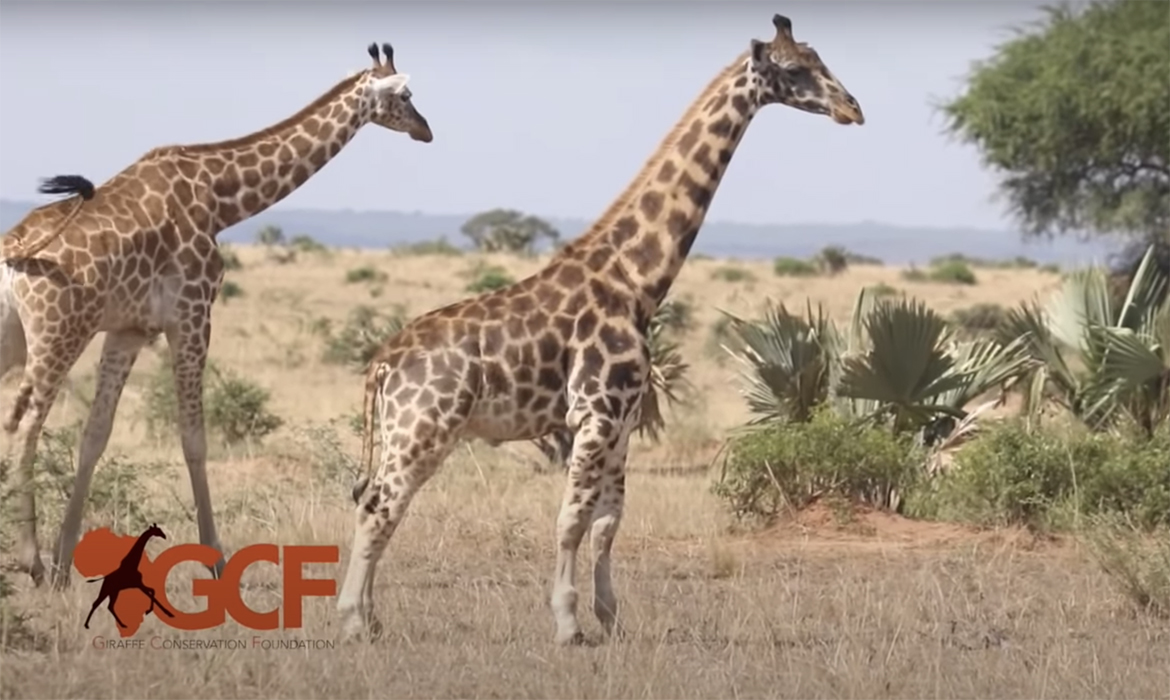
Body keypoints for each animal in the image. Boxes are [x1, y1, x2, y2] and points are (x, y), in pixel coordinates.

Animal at [0, 41, 433, 590]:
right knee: (22, 425)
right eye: (407, 95)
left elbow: (95, 436)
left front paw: (64, 564)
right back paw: (28, 560)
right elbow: (194, 439)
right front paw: (217, 560)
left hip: (13, 334)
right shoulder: (193, 313)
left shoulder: (129, 330)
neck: (222, 198)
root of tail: (13, 252)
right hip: (57, 334)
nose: (426, 129)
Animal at [337, 13, 863, 645]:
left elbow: (609, 522)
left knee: (377, 502)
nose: (853, 109)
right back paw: (352, 621)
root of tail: (382, 362)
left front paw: (609, 616)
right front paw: (567, 623)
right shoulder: (594, 412)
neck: (635, 281)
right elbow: (572, 519)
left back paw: (371, 617)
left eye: (819, 58)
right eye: (793, 69)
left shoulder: (626, 418)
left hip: (406, 431)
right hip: (424, 428)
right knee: (379, 506)